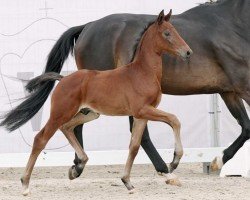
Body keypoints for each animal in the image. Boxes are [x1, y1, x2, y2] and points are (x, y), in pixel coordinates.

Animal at [1, 9, 191, 195]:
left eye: (175, 30)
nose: (188, 52)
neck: (142, 72)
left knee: (67, 127)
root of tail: (63, 79)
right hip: (60, 113)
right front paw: (174, 161)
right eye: (167, 33)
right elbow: (174, 120)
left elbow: (134, 146)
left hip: (91, 113)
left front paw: (127, 182)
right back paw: (25, 184)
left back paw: (81, 162)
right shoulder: (142, 110)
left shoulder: (141, 115)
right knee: (41, 138)